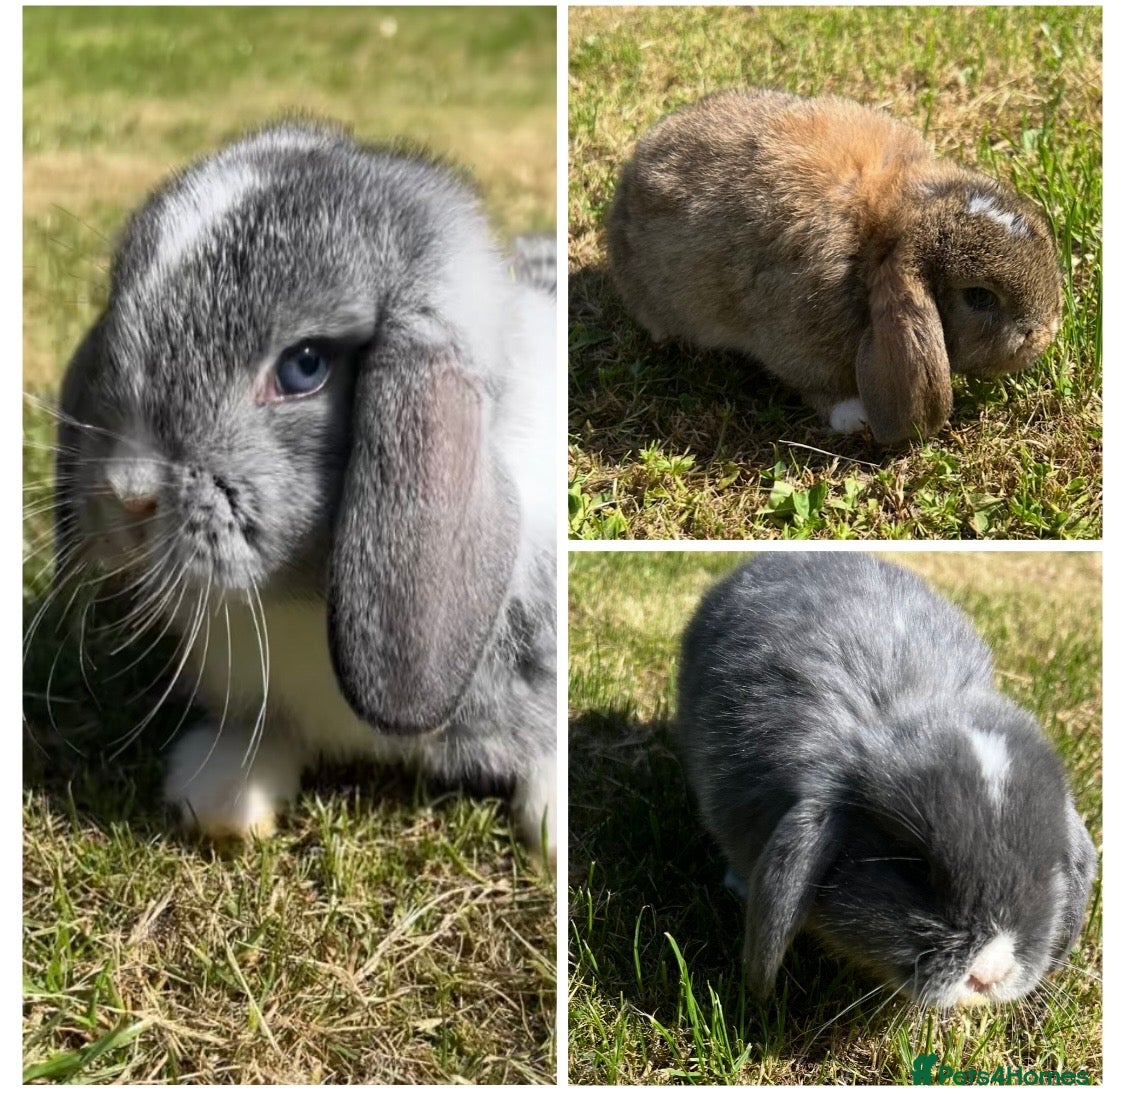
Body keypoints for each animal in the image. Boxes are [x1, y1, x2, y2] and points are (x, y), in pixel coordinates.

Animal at [606, 88, 1063, 444]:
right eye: (980, 297)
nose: (1042, 333)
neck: (878, 233)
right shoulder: (798, 344)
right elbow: (819, 387)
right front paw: (855, 417)